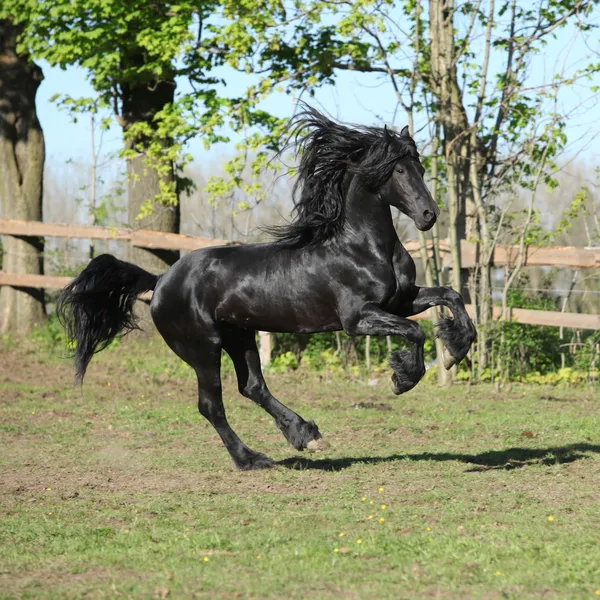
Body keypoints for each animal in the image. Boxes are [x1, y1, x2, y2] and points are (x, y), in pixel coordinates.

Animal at [58, 105, 476, 472]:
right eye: (399, 169)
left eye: (420, 166)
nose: (428, 216)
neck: (362, 248)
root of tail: (161, 282)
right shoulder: (358, 319)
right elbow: (414, 331)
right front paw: (402, 379)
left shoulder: (402, 300)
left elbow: (450, 295)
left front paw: (456, 349)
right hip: (202, 348)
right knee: (212, 405)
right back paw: (251, 459)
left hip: (239, 336)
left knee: (253, 387)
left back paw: (305, 435)